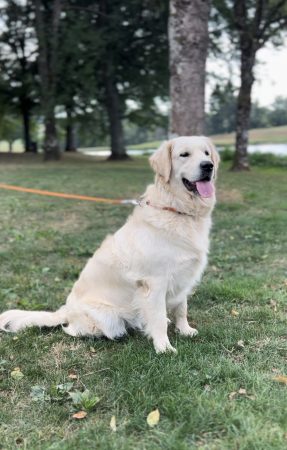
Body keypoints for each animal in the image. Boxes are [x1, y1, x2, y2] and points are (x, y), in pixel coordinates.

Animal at [0, 135, 220, 354]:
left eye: (206, 153)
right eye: (184, 154)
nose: (208, 166)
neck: (177, 209)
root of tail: (65, 310)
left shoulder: (183, 277)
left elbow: (182, 308)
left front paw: (185, 330)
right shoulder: (155, 281)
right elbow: (157, 318)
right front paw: (164, 348)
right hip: (105, 318)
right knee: (74, 329)